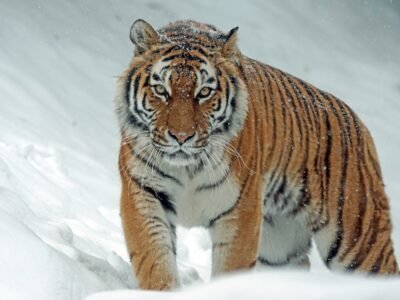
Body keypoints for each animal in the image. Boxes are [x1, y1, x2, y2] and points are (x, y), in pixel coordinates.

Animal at [114, 19, 398, 290]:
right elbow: (155, 261)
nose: (181, 137)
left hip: (359, 240)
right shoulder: (144, 194)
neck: (188, 168)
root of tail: (359, 124)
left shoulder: (240, 209)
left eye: (204, 92)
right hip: (279, 247)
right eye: (161, 90)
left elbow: (231, 268)